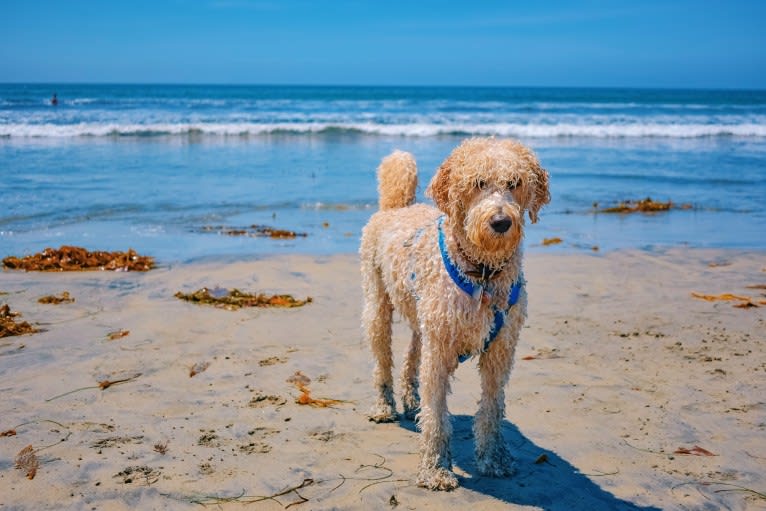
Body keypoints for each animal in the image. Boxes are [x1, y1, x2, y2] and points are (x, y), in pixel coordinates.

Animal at [362, 138, 552, 490]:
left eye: (514, 183)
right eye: (478, 183)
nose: (501, 222)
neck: (483, 274)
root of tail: (396, 207)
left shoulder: (500, 351)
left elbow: (491, 410)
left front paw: (493, 459)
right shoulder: (439, 352)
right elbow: (437, 417)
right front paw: (436, 470)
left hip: (424, 317)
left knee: (412, 355)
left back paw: (411, 399)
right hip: (377, 307)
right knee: (382, 362)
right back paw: (384, 406)